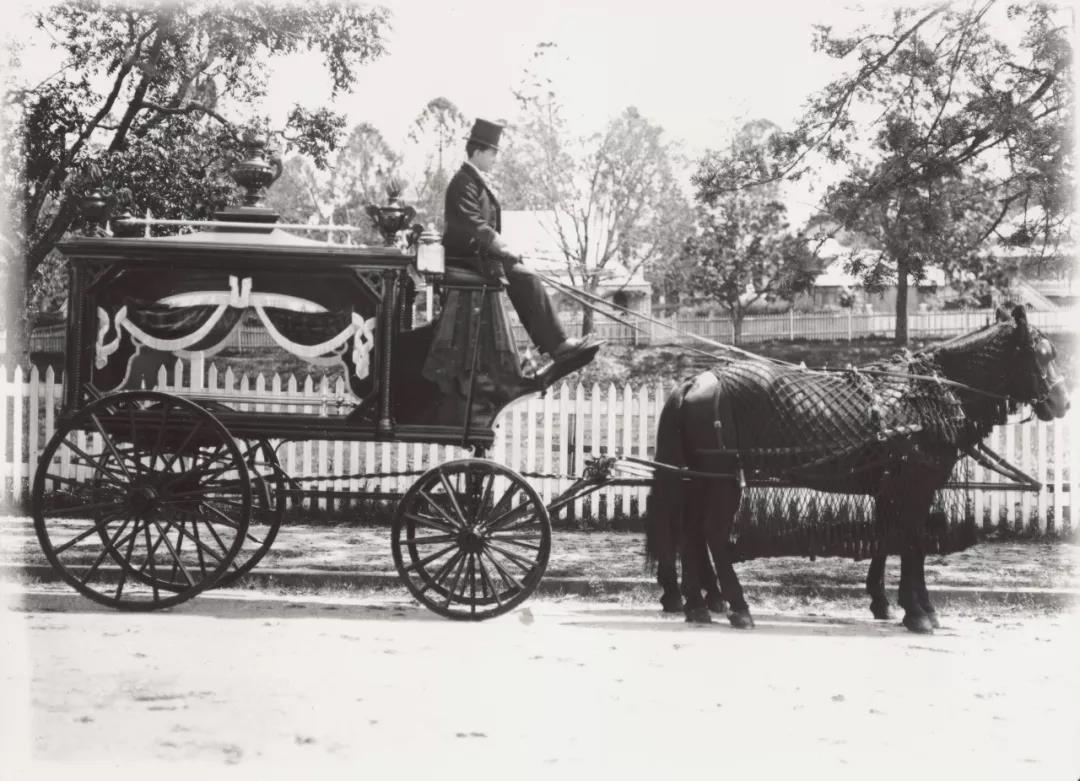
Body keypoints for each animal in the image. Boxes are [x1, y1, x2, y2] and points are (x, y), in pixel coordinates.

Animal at [643, 306, 1067, 635]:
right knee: (712, 534)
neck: (927, 395)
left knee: (692, 534)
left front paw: (893, 603)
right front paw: (917, 612)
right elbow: (912, 543)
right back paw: (737, 606)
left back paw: (698, 605)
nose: (1062, 402)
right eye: (1042, 354)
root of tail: (694, 381)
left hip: (701, 479)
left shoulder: (892, 488)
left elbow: (891, 539)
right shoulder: (914, 485)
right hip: (725, 481)